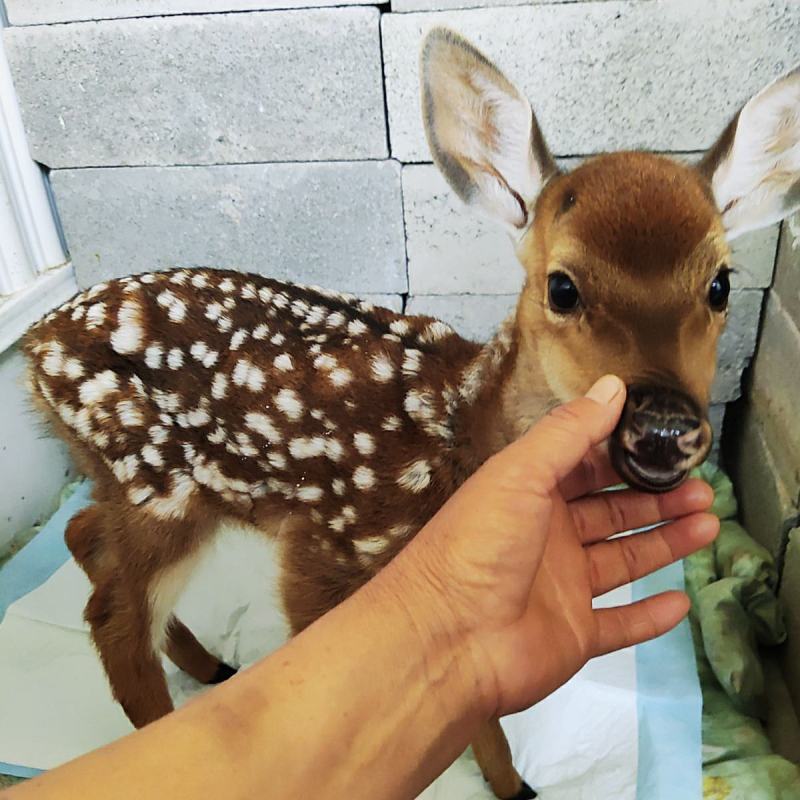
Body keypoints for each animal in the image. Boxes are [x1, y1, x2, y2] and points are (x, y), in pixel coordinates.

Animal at [22, 27, 800, 800]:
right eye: (562, 287)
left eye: (721, 284)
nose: (664, 424)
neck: (454, 430)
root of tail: (34, 344)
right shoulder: (324, 548)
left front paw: (513, 786)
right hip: (156, 483)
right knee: (113, 617)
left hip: (135, 483)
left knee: (83, 537)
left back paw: (208, 664)